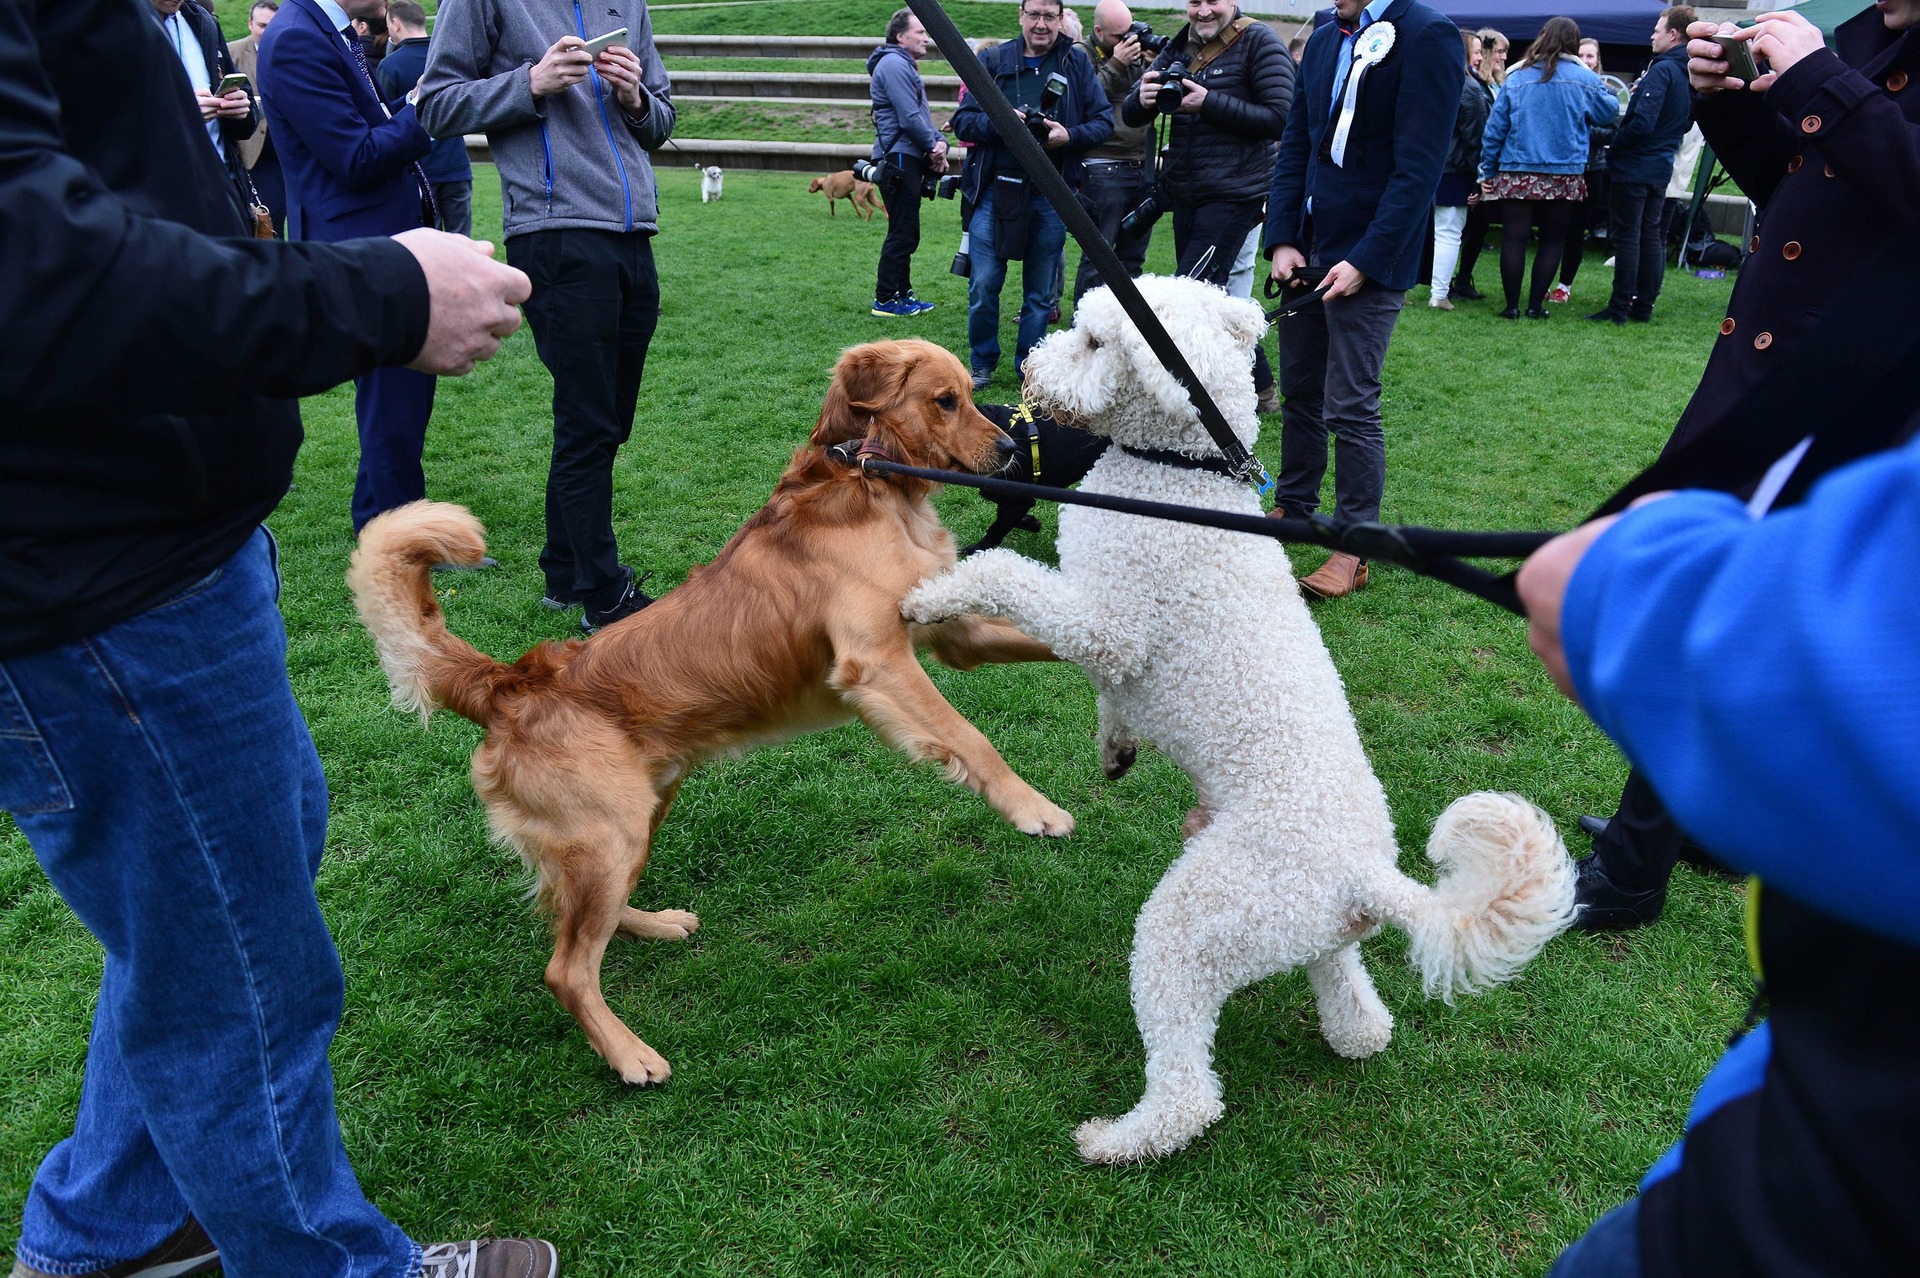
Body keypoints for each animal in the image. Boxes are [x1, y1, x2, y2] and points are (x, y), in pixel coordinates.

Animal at [345, 333, 1067, 1082]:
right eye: (945, 400)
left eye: (972, 395)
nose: (1014, 454)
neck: (868, 479)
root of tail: (509, 683)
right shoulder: (877, 661)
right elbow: (971, 737)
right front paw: (1035, 809)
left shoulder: (953, 635)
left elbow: (1059, 636)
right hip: (611, 832)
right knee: (566, 969)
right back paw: (630, 1055)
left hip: (634, 820)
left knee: (579, 923)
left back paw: (656, 925)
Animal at [898, 274, 1574, 1159]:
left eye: (1092, 340)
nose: (1030, 367)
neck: (1182, 477)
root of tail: (1363, 875)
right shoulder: (1113, 649)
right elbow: (1109, 696)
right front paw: (1115, 749)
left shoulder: (1108, 623)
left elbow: (1008, 571)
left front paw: (931, 596)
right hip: (1312, 934)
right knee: (1357, 1008)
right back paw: (1354, 1036)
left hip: (1191, 928)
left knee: (1190, 1091)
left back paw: (1119, 1139)